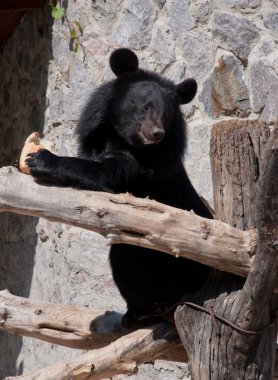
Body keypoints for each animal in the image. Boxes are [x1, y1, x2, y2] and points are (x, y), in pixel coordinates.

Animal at [26, 48, 213, 324]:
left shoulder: (146, 167)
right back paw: (136, 312)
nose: (156, 133)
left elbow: (106, 175)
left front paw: (40, 159)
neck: (120, 138)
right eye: (145, 106)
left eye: (167, 115)